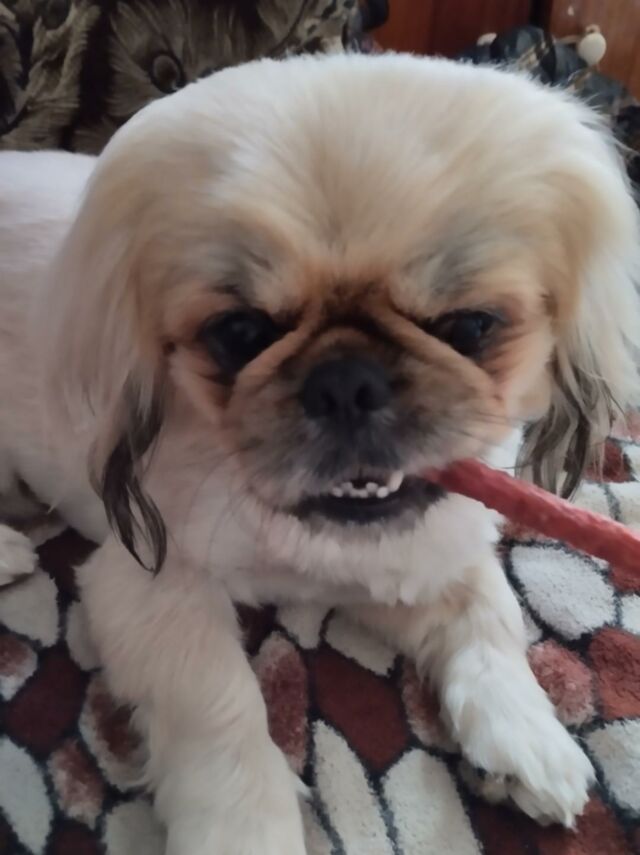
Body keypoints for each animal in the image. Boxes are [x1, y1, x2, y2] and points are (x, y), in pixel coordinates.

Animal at [1, 53, 638, 854]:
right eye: (240, 333)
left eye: (468, 326)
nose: (345, 380)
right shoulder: (146, 585)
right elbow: (216, 704)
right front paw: (244, 831)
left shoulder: (422, 555)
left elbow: (488, 613)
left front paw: (524, 735)